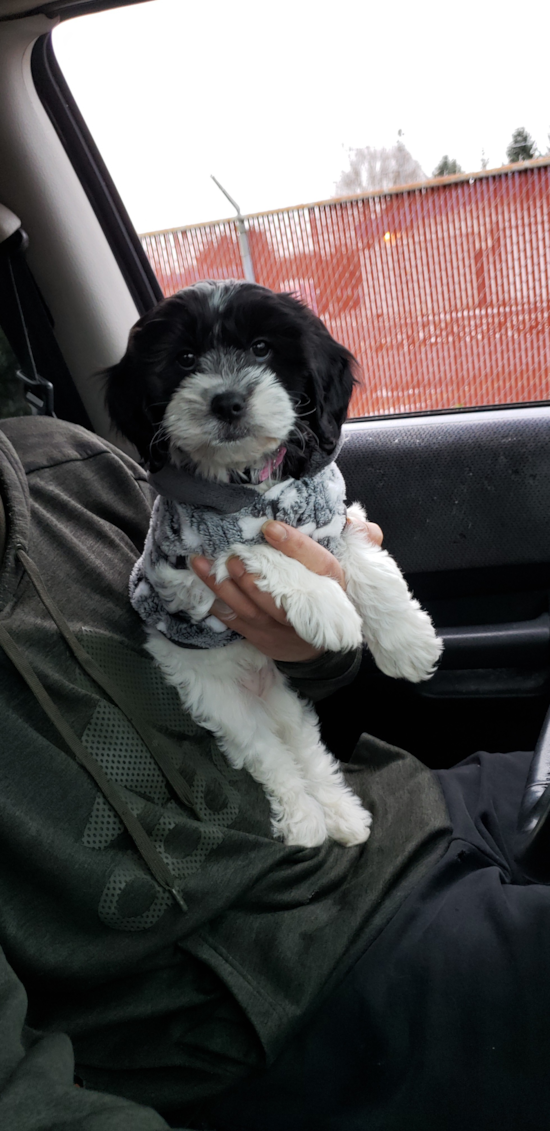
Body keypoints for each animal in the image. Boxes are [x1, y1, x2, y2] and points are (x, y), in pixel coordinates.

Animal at [106, 282, 443, 850]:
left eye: (262, 349)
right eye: (185, 359)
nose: (227, 400)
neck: (250, 487)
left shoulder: (331, 518)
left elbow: (366, 564)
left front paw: (407, 642)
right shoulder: (185, 565)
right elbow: (254, 546)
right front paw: (328, 606)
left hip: (286, 702)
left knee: (306, 751)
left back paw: (342, 815)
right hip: (222, 703)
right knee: (271, 758)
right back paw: (305, 821)